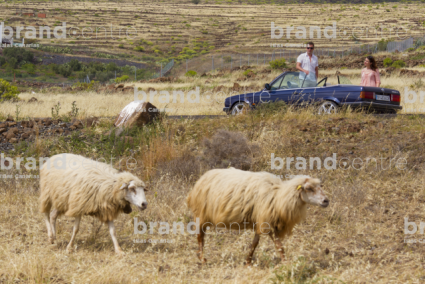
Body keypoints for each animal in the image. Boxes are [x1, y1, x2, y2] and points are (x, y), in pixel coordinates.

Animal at [186, 169, 328, 264]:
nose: (326, 201)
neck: (279, 197)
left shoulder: (261, 221)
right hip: (202, 213)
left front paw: (248, 261)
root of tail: (203, 177)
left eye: (320, 186)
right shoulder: (268, 222)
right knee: (200, 236)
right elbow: (279, 246)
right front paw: (285, 263)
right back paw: (202, 258)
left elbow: (255, 243)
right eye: (309, 188)